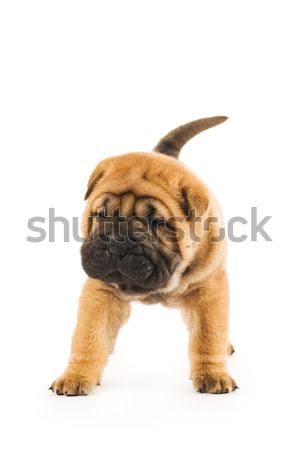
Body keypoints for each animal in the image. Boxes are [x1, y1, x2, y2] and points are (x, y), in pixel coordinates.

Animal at [49, 117, 237, 398]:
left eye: (157, 222)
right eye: (102, 214)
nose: (117, 245)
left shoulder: (208, 290)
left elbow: (208, 336)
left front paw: (213, 374)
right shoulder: (100, 292)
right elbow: (88, 336)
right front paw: (76, 376)